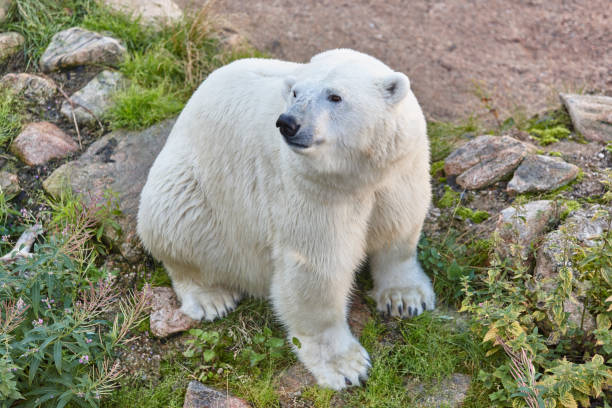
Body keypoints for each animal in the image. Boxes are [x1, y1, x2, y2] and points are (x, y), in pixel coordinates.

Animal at [139, 47, 436, 388]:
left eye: (335, 96)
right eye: (295, 93)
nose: (288, 123)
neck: (357, 176)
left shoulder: (399, 170)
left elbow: (398, 230)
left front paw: (406, 299)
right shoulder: (311, 190)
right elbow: (316, 267)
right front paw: (346, 367)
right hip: (192, 188)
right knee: (177, 223)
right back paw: (211, 298)